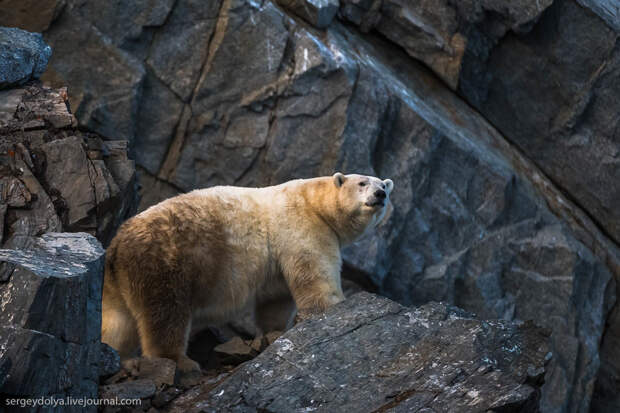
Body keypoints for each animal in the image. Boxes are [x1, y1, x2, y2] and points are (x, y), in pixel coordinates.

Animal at [101, 172, 392, 372]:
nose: (380, 194)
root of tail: (117, 246)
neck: (313, 200)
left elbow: (276, 300)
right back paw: (180, 361)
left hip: (117, 282)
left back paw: (121, 358)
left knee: (118, 321)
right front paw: (337, 307)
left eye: (383, 184)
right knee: (165, 312)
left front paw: (275, 331)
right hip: (165, 262)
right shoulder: (304, 226)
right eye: (362, 183)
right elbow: (315, 274)